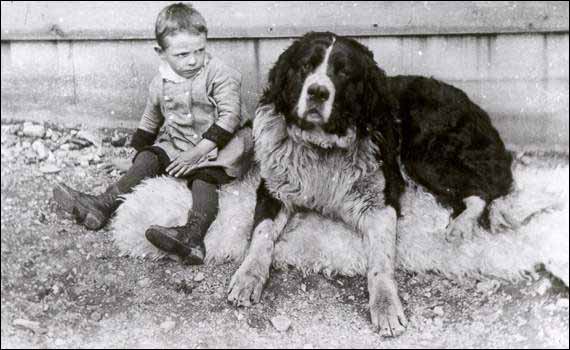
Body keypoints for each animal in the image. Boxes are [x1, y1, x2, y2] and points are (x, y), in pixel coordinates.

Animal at [225, 32, 510, 336]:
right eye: (305, 66)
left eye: (343, 72)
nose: (317, 92)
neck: (322, 147)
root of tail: (474, 107)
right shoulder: (274, 189)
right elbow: (261, 236)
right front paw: (248, 277)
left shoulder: (380, 202)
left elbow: (380, 261)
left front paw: (386, 305)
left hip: (423, 156)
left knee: (483, 188)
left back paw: (462, 225)